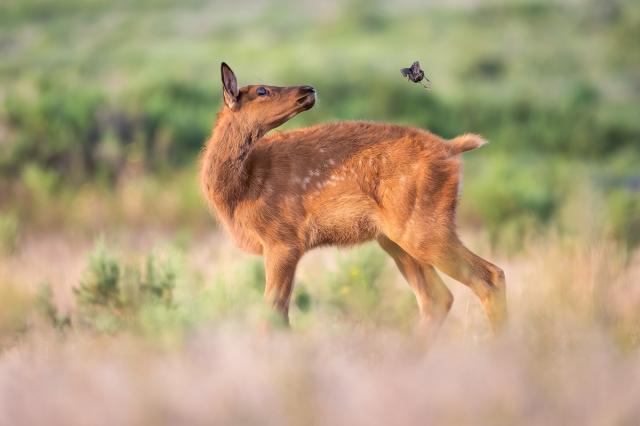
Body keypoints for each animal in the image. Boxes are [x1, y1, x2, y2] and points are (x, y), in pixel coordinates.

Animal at [198, 64, 508, 336]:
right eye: (262, 90)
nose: (308, 89)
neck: (241, 189)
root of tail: (452, 149)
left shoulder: (283, 239)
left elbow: (273, 313)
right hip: (395, 237)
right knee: (437, 298)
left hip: (423, 224)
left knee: (489, 276)